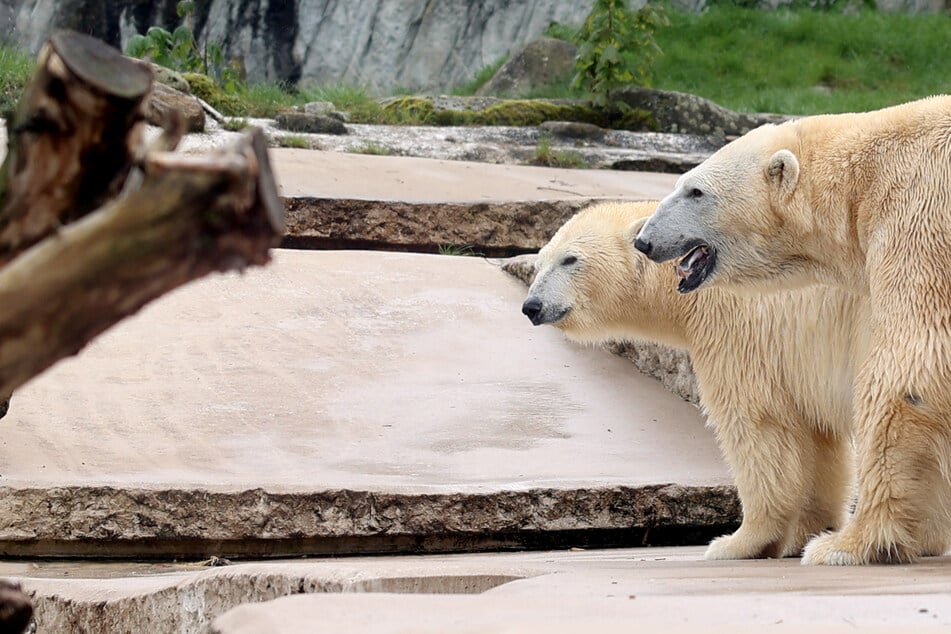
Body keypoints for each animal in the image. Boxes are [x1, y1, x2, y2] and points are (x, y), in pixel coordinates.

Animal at [524, 201, 868, 556]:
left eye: (570, 259)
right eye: (540, 262)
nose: (532, 306)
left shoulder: (741, 326)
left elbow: (758, 425)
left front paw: (739, 542)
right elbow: (819, 439)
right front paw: (809, 530)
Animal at [632, 95, 951, 564]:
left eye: (696, 191)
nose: (644, 240)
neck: (860, 182)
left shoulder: (918, 218)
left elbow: (908, 371)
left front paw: (846, 544)